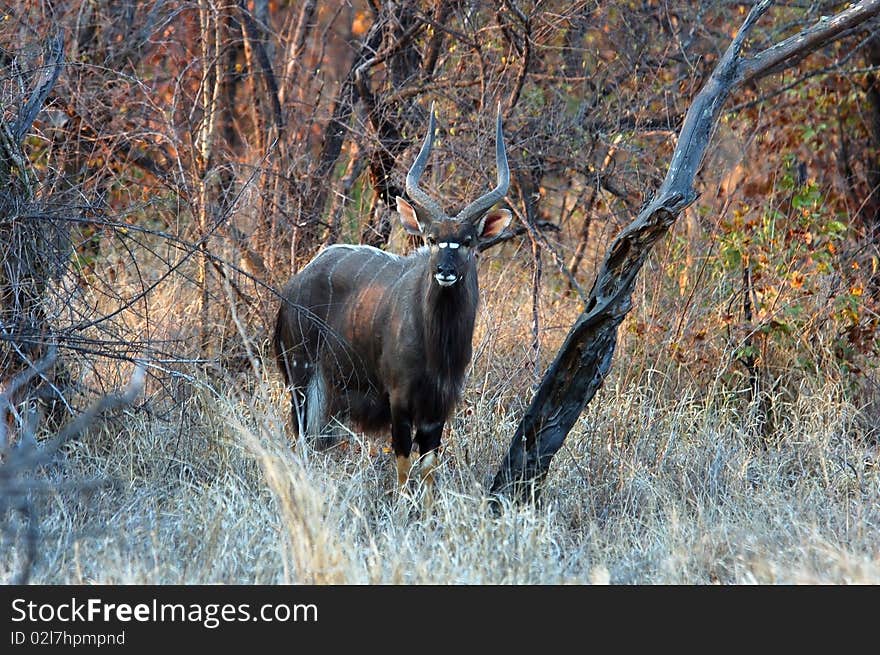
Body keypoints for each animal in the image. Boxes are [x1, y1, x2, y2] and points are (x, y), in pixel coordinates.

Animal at [272, 106, 512, 498]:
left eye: (467, 242)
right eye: (431, 239)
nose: (445, 271)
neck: (437, 347)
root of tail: (292, 287)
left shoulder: (437, 410)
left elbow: (427, 469)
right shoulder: (399, 400)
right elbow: (402, 466)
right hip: (301, 379)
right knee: (301, 440)